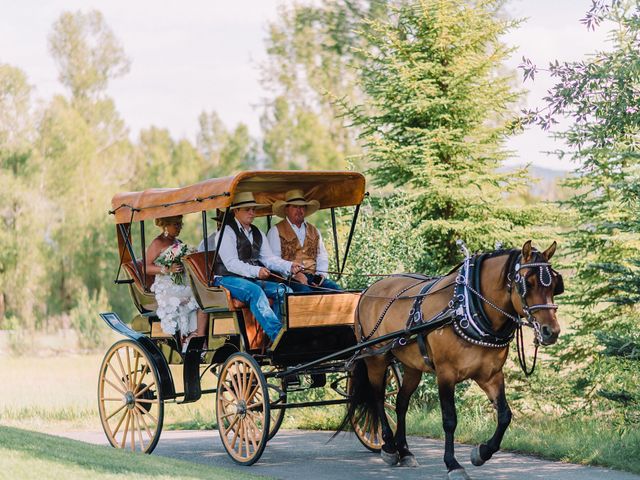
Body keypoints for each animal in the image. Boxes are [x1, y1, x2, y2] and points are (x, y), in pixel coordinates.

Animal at [342, 242, 564, 478]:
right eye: (527, 283)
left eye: (554, 285)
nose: (551, 331)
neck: (465, 307)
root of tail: (368, 290)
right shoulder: (445, 374)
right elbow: (449, 420)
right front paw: (453, 464)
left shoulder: (491, 375)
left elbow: (505, 415)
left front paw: (481, 452)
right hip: (376, 358)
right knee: (378, 397)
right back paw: (390, 447)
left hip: (412, 366)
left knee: (401, 402)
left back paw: (405, 451)